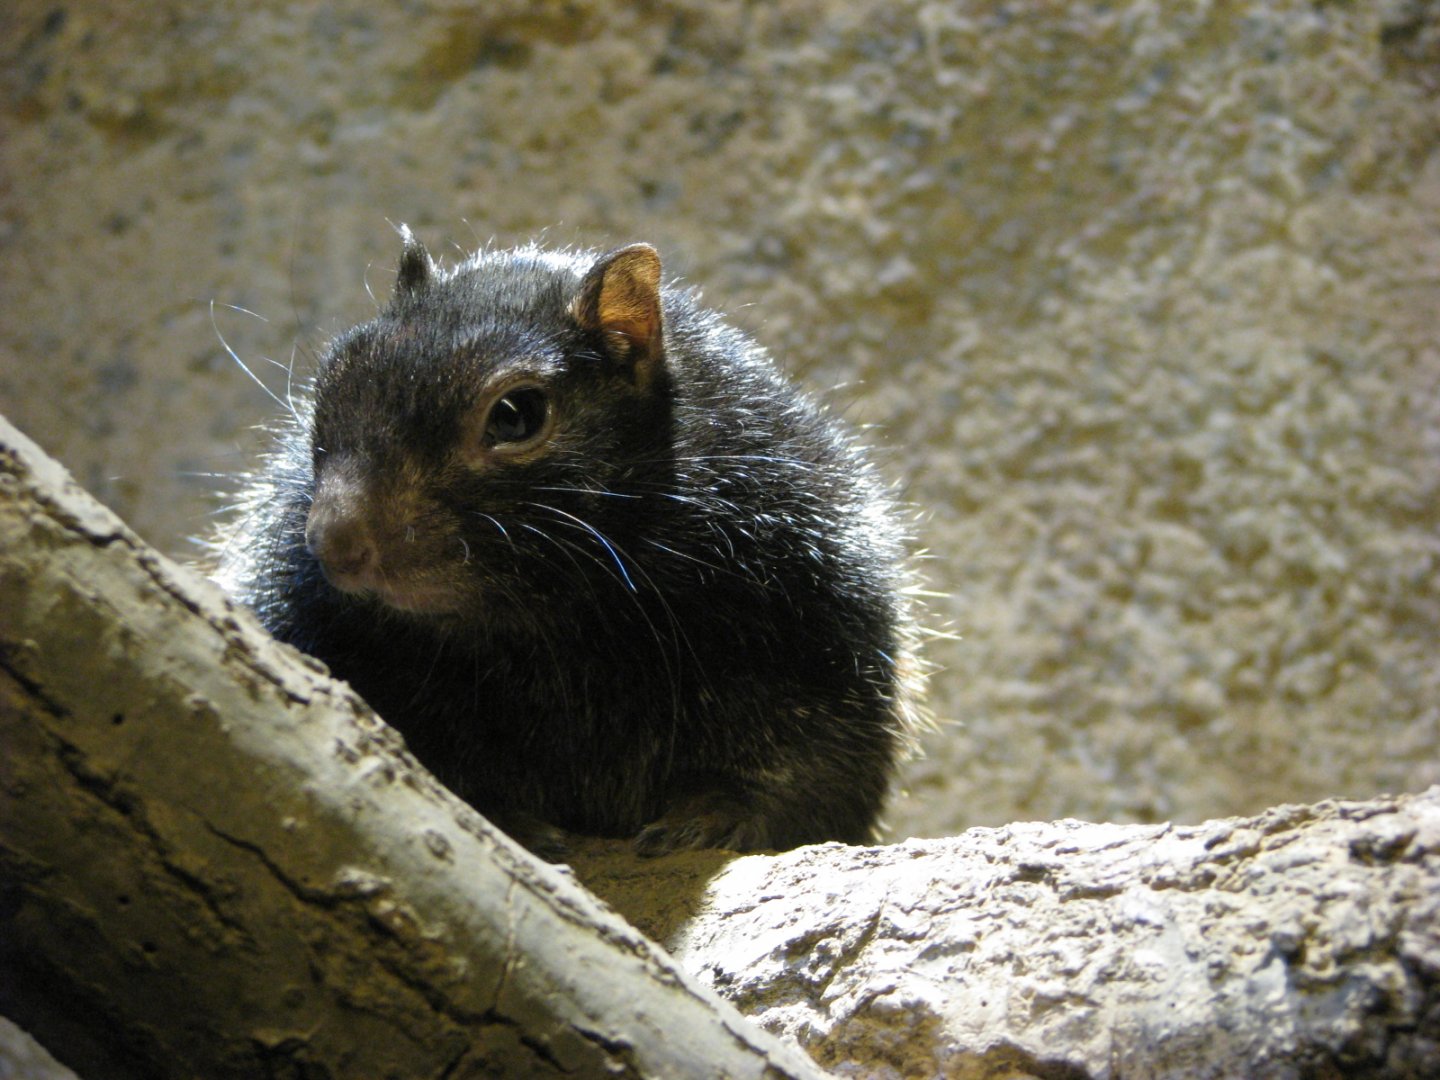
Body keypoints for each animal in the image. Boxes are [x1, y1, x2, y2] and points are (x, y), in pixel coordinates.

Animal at [212, 228, 928, 859]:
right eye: (334, 375)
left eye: (515, 414)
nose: (334, 542)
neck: (549, 617)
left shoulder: (819, 611)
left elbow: (813, 771)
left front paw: (711, 813)